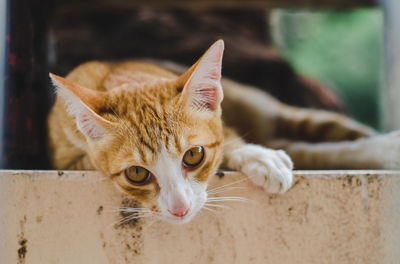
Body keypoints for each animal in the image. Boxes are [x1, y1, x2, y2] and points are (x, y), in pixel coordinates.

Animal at [48, 39, 400, 225]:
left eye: (193, 155)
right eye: (136, 173)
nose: (180, 209)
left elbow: (228, 137)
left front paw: (256, 156)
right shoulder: (68, 159)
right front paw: (261, 157)